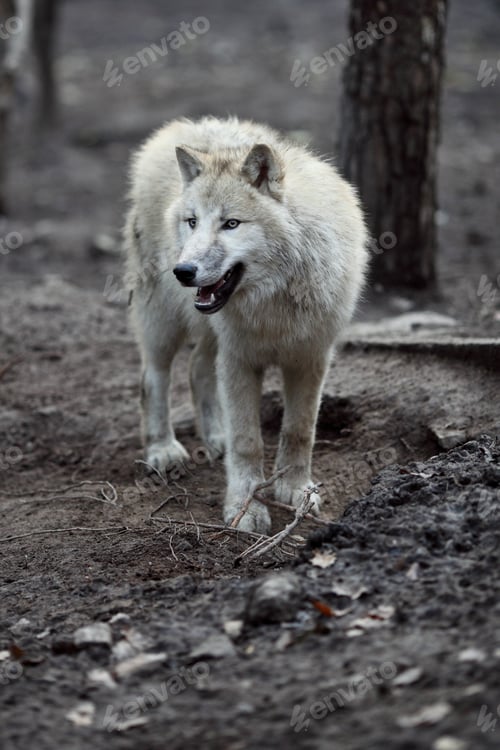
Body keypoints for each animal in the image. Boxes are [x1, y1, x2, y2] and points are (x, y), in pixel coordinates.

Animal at [124, 116, 368, 533]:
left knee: (197, 369)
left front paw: (295, 489)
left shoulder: (310, 357)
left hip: (211, 332)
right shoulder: (239, 359)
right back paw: (163, 450)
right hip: (163, 322)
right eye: (193, 222)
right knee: (152, 378)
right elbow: (247, 442)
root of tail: (177, 129)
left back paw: (214, 437)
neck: (274, 300)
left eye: (231, 223)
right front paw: (245, 508)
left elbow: (299, 430)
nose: (183, 271)